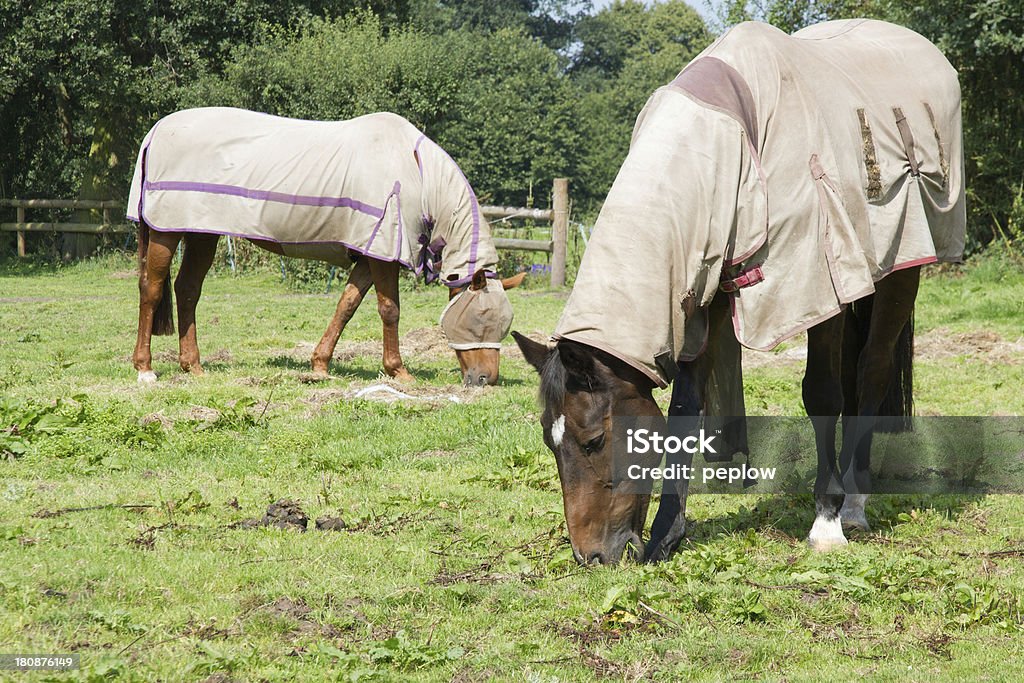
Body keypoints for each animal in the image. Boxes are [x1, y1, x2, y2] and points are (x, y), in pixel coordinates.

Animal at [128, 108, 524, 385]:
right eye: (480, 318)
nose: (487, 380)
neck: (418, 175)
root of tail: (156, 132)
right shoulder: (383, 255)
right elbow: (389, 310)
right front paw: (398, 371)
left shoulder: (367, 257)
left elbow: (346, 305)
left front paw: (319, 365)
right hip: (166, 233)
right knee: (152, 289)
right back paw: (145, 369)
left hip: (201, 233)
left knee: (187, 290)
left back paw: (193, 366)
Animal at [516, 20, 962, 565]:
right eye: (548, 439)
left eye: (593, 440)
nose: (593, 556)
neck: (725, 151)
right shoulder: (695, 300)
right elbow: (684, 413)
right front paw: (667, 532)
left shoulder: (816, 287)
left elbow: (821, 392)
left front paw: (826, 521)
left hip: (899, 270)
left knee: (871, 371)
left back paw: (855, 504)